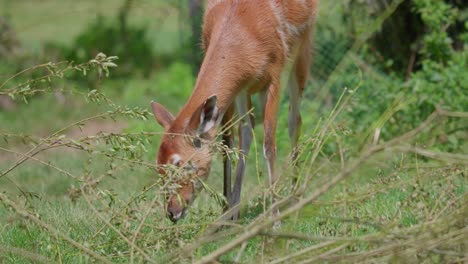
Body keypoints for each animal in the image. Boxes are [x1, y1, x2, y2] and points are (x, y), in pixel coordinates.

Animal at [153, 0, 318, 223]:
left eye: (179, 163)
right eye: (158, 166)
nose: (172, 212)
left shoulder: (274, 75)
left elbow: (269, 144)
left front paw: (274, 219)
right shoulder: (239, 88)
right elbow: (230, 143)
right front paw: (227, 215)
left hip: (302, 53)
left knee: (294, 121)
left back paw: (294, 197)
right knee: (249, 131)